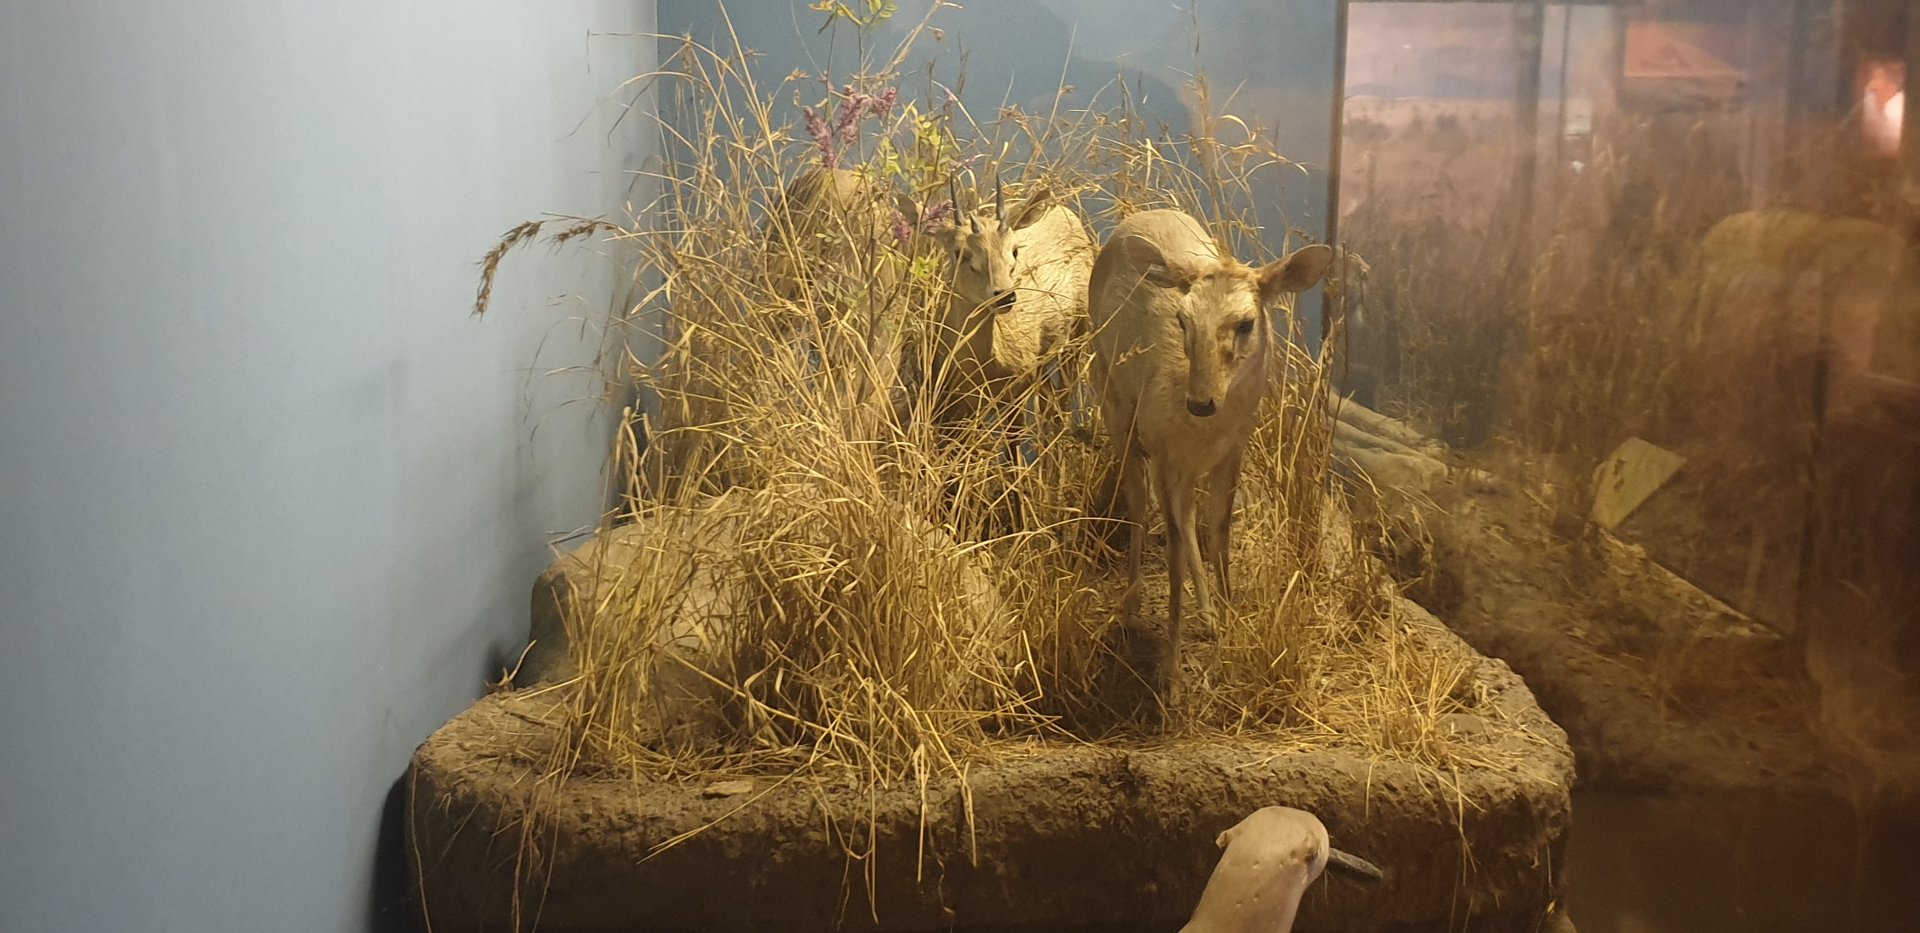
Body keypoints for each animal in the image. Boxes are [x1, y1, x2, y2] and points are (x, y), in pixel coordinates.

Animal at [1087, 209, 1332, 699]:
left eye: (1246, 323)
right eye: (1182, 320)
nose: (1201, 402)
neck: (1204, 429)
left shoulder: (1233, 447)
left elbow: (1218, 530)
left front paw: (1230, 622)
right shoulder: (1163, 447)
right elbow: (1173, 549)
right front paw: (1171, 677)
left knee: (1184, 514)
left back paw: (1207, 615)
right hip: (1112, 397)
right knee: (1139, 504)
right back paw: (1131, 607)